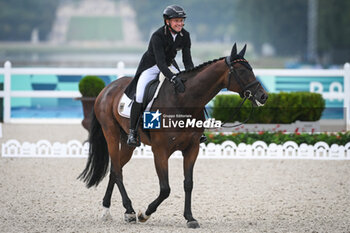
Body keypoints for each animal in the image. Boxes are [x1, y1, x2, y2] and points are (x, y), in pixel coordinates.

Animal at [78, 43, 266, 228]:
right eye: (242, 71)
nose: (263, 96)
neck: (183, 100)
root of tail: (106, 89)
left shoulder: (192, 149)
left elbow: (188, 184)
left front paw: (190, 218)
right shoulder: (160, 151)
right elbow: (165, 189)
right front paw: (145, 214)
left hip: (127, 142)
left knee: (114, 169)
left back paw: (108, 210)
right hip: (111, 133)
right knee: (117, 171)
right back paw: (130, 211)